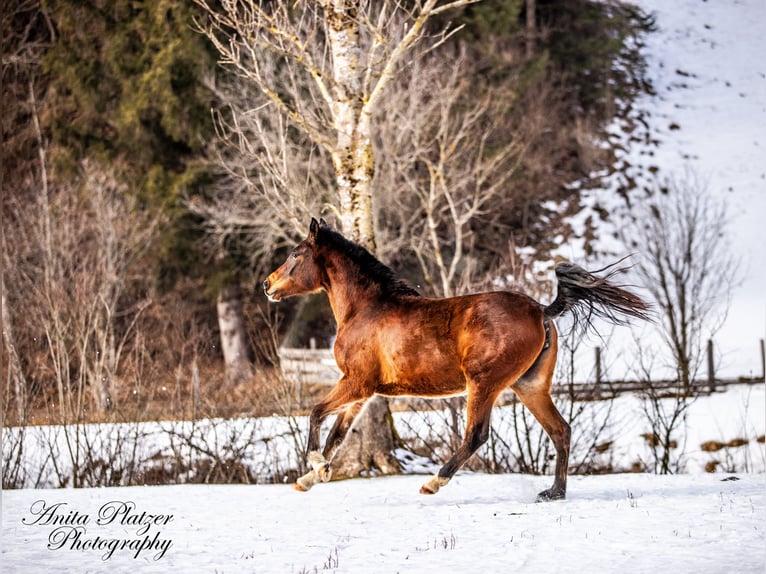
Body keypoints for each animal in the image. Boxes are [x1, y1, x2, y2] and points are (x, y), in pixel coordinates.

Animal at [264, 218, 648, 502]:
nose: (268, 285)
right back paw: (554, 492)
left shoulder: (357, 382)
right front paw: (312, 477)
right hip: (530, 386)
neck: (366, 309)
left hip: (484, 384)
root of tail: (541, 310)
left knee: (477, 435)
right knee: (560, 430)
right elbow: (337, 435)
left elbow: (315, 413)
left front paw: (315, 467)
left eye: (296, 254)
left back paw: (433, 482)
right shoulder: (364, 392)